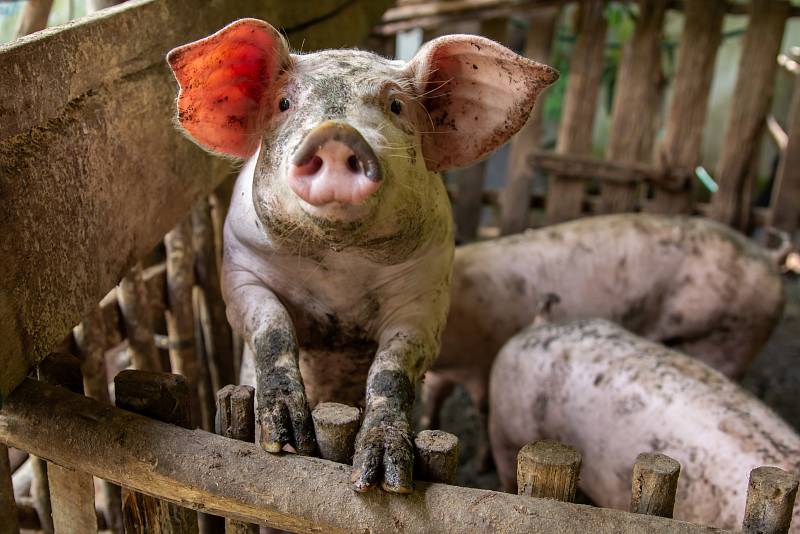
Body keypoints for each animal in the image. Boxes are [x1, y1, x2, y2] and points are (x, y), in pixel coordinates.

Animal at [167, 17, 556, 494]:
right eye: (283, 103)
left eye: (395, 105)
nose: (336, 134)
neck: (340, 267)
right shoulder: (240, 269)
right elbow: (271, 329)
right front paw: (285, 442)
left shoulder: (426, 296)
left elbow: (391, 367)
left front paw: (387, 482)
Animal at [422, 214, 784, 464]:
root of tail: (770, 261)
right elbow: (435, 396)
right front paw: (431, 423)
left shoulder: (486, 360)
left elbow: (484, 411)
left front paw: (479, 463)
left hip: (734, 339)